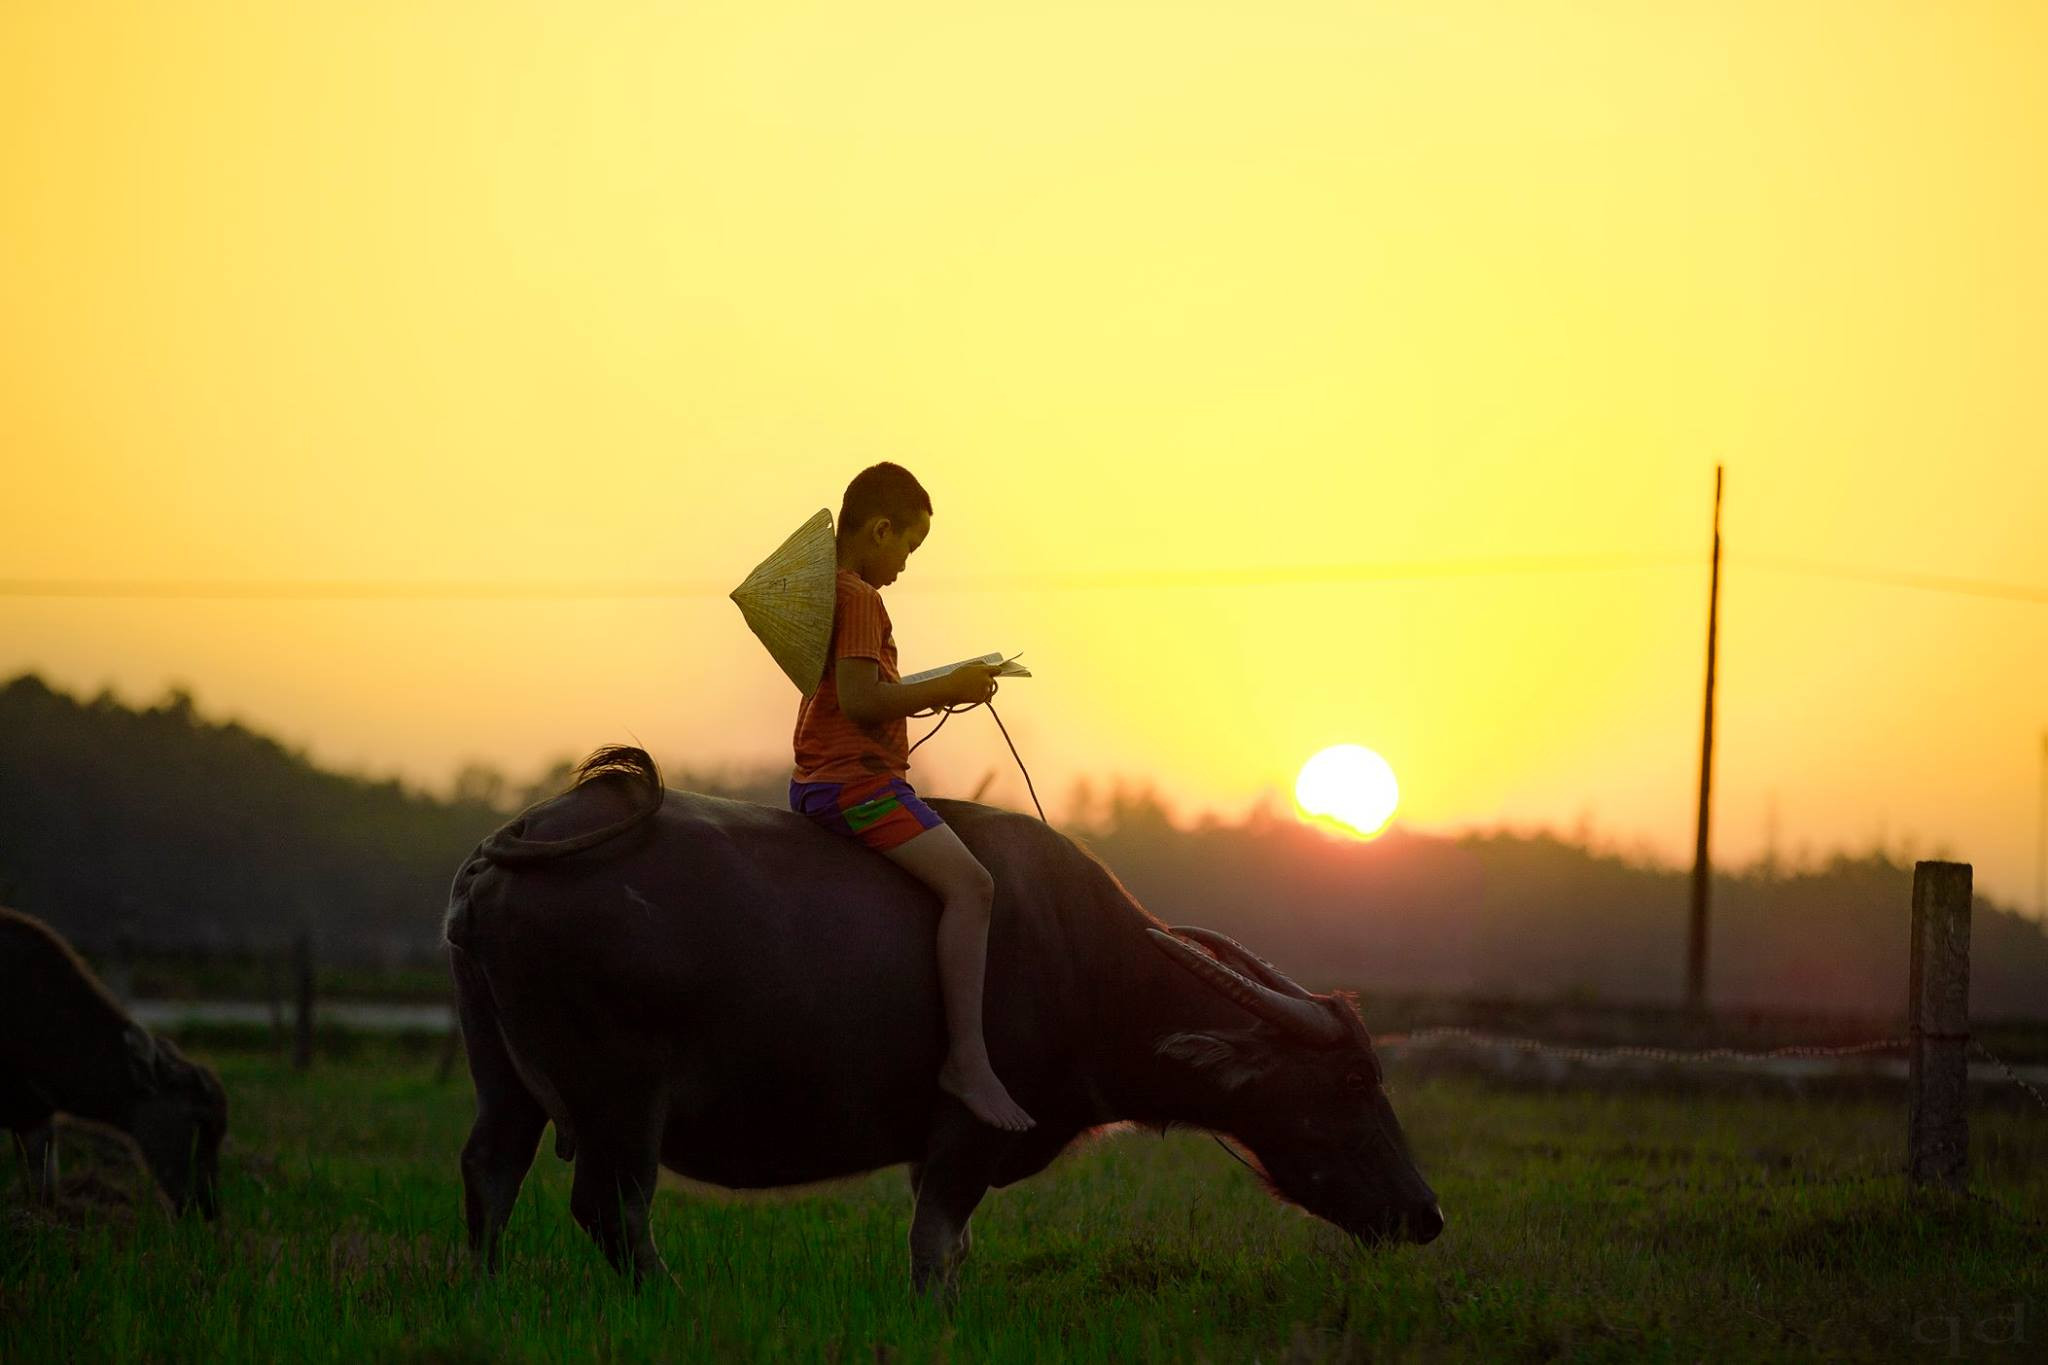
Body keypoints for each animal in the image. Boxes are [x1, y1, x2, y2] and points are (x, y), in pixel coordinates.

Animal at [448, 749, 1441, 1293]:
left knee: (491, 1168)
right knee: (613, 1208)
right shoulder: (966, 1134)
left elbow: (953, 1247)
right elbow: (934, 1244)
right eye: (1354, 1078)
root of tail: (513, 843)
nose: (1428, 1214)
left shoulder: (934, 1148)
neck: (1086, 965)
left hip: (505, 1081)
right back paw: (675, 1298)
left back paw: (488, 1291)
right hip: (620, 1100)